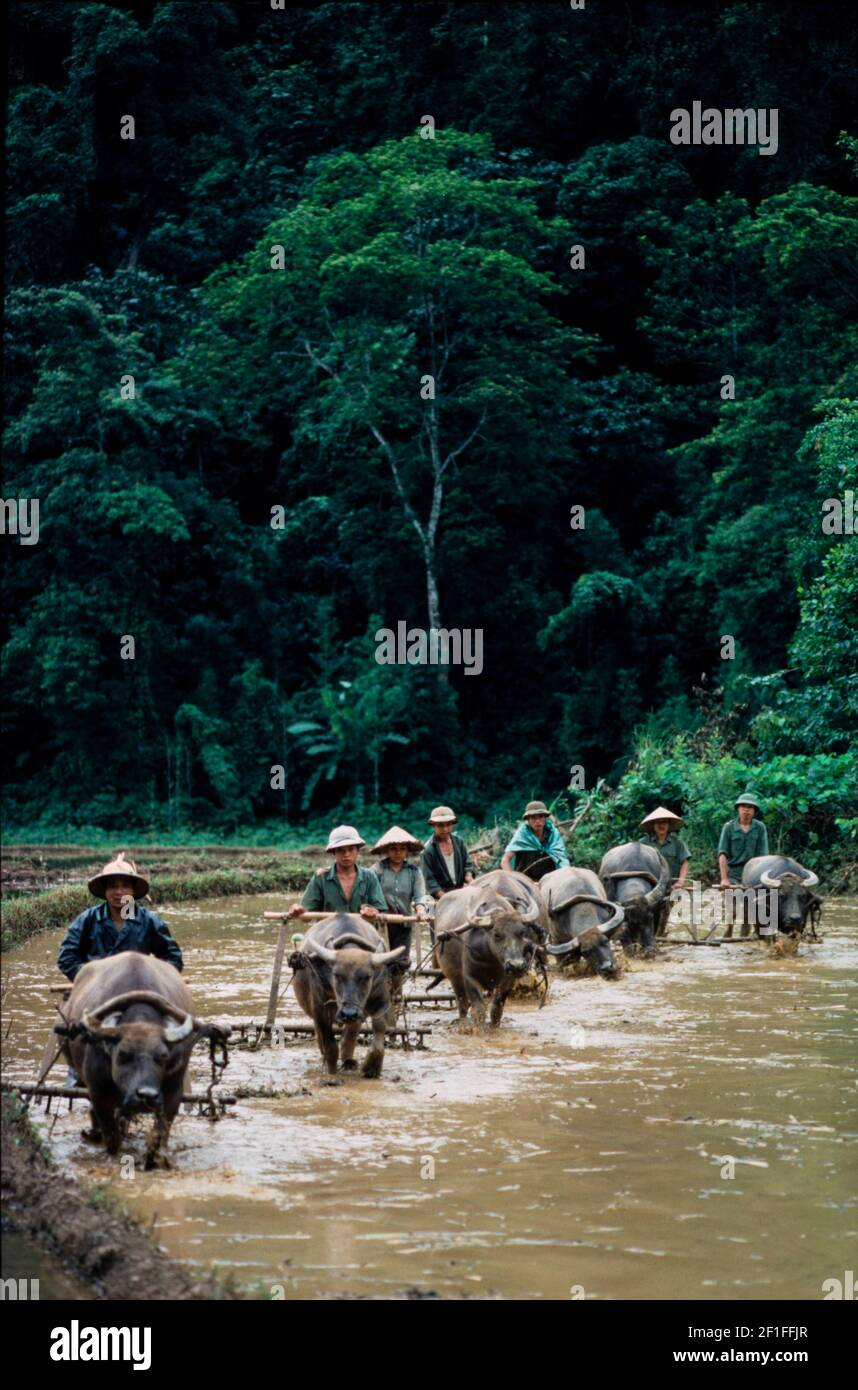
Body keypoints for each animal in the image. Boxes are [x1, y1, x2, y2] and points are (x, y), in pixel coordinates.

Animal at [59, 950, 229, 1167]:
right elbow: (111, 1136)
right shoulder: (98, 1092)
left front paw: (156, 1158)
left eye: (163, 1056)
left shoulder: (173, 1092)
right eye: (123, 1054)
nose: (146, 1096)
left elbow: (161, 1131)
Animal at [287, 917, 406, 1078]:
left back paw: (349, 1061)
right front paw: (331, 1072)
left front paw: (371, 1068)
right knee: (321, 1038)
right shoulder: (320, 1010)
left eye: (367, 976)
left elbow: (379, 1029)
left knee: (350, 1035)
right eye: (336, 974)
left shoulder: (380, 1001)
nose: (349, 1013)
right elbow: (330, 1045)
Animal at [433, 884, 542, 1028]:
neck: (491, 959)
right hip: (453, 976)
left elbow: (497, 1008)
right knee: (461, 1001)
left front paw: (494, 1027)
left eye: (522, 932)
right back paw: (463, 1022)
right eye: (497, 934)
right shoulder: (469, 977)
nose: (516, 966)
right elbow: (478, 1008)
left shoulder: (508, 979)